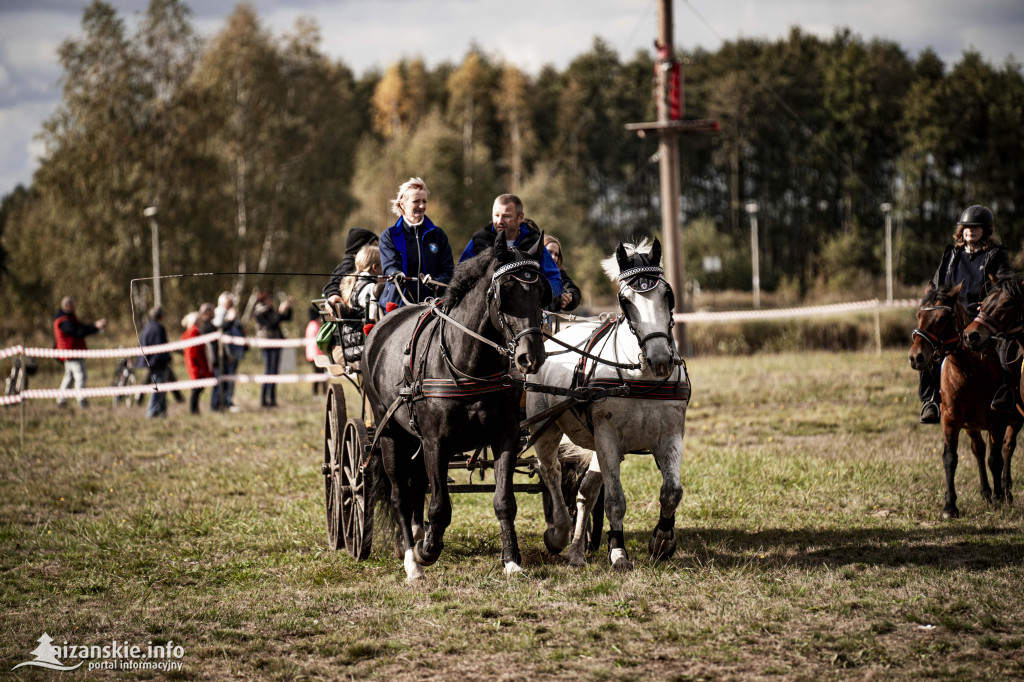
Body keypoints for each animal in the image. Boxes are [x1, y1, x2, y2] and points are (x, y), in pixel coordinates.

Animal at [362, 236, 552, 581]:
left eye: (542, 291)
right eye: (506, 291)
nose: (530, 357)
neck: (468, 365)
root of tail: (379, 329)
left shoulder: (505, 436)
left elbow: (504, 501)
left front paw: (512, 561)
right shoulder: (437, 442)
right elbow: (440, 507)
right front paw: (427, 551)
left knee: (416, 487)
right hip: (390, 433)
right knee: (399, 495)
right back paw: (411, 560)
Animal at [528, 238, 688, 569]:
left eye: (668, 294)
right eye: (626, 300)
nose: (660, 359)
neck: (641, 378)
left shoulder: (670, 436)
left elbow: (671, 492)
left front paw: (662, 541)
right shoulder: (608, 439)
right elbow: (615, 500)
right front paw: (619, 552)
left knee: (585, 492)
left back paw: (577, 551)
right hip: (545, 428)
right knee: (551, 472)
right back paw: (558, 533)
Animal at [909, 280, 1019, 516]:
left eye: (943, 318)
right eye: (919, 315)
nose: (915, 357)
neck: (971, 371)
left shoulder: (996, 421)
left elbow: (995, 459)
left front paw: (998, 497)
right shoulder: (951, 420)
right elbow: (951, 458)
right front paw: (950, 506)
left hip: (1014, 421)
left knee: (1006, 449)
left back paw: (1005, 493)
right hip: (972, 426)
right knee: (979, 449)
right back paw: (986, 492)